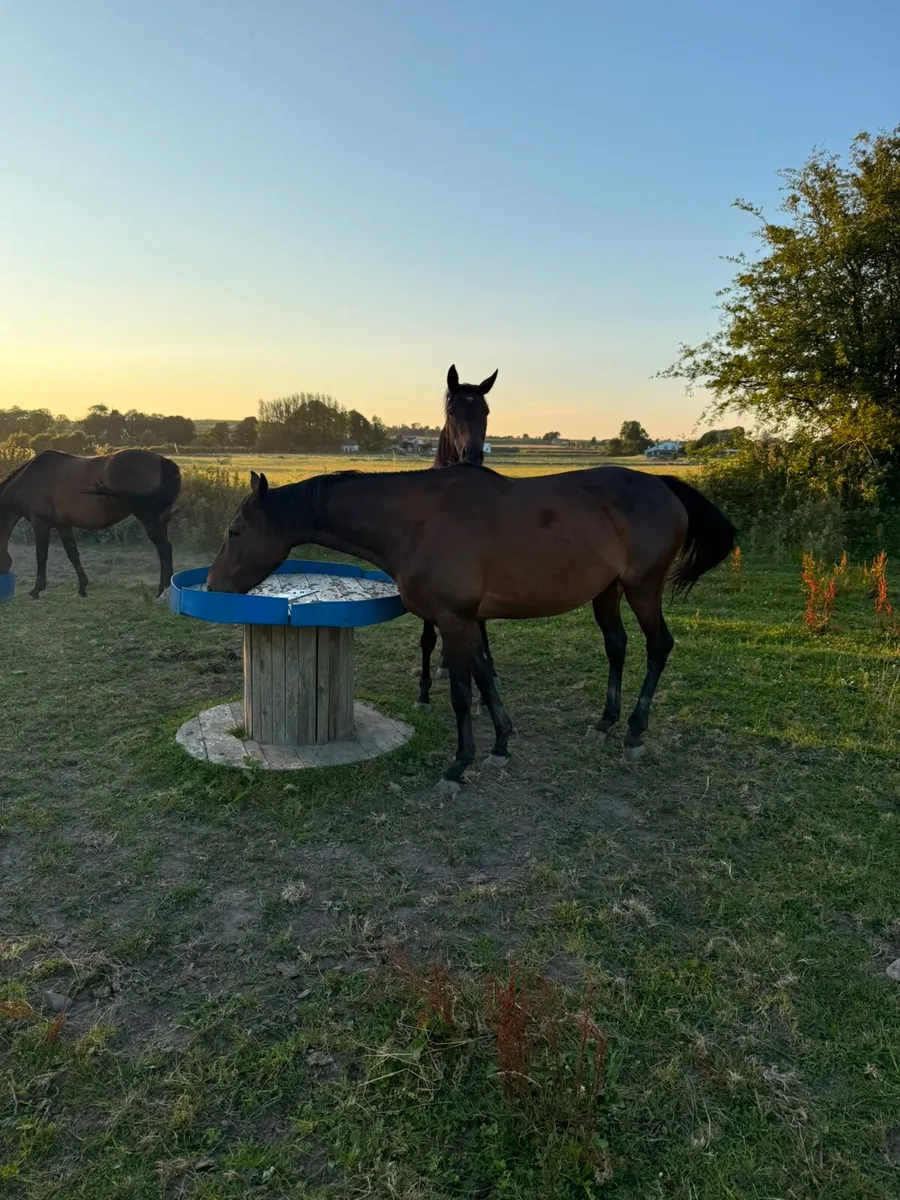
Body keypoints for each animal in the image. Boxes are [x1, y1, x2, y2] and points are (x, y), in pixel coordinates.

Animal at [0, 449, 181, 598]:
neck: (27, 481)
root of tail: (163, 461)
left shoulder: (40, 523)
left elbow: (41, 556)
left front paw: (37, 590)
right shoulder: (62, 524)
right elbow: (73, 554)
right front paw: (82, 588)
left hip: (149, 520)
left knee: (164, 549)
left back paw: (162, 592)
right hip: (160, 521)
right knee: (166, 550)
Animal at [206, 464, 736, 791]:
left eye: (234, 532)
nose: (212, 586)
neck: (417, 521)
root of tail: (662, 485)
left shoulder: (454, 620)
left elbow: (463, 692)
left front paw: (459, 765)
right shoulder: (471, 622)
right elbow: (487, 677)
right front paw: (500, 744)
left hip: (643, 587)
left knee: (658, 646)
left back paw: (635, 732)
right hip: (607, 591)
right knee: (617, 646)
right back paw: (606, 722)